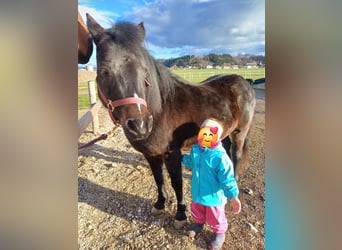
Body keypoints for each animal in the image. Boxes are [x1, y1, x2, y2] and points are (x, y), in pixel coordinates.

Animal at [86, 14, 256, 229]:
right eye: (104, 71)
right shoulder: (150, 154)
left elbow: (177, 182)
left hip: (240, 133)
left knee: (236, 155)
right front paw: (160, 204)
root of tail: (244, 81)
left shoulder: (172, 153)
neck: (161, 109)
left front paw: (180, 214)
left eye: (144, 72)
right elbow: (159, 179)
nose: (140, 125)